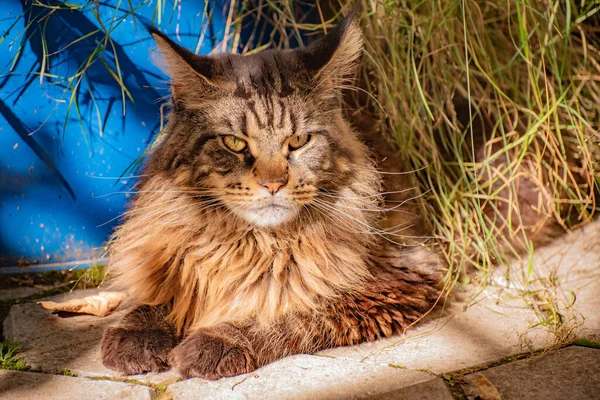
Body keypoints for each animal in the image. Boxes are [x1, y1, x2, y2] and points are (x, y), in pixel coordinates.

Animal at [101, 7, 442, 380]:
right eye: (234, 143)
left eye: (299, 141)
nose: (273, 184)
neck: (249, 243)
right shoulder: (168, 254)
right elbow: (157, 294)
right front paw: (136, 335)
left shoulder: (395, 282)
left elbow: (283, 311)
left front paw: (217, 341)